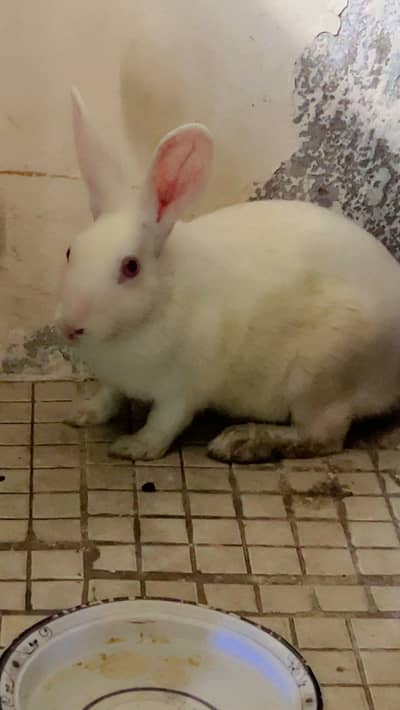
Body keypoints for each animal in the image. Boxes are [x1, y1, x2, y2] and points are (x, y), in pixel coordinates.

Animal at [56, 88, 400, 464]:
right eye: (70, 251)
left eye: (131, 267)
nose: (71, 326)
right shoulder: (114, 380)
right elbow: (109, 397)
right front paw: (81, 413)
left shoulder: (183, 389)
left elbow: (164, 424)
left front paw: (134, 447)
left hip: (319, 378)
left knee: (322, 437)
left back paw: (240, 442)